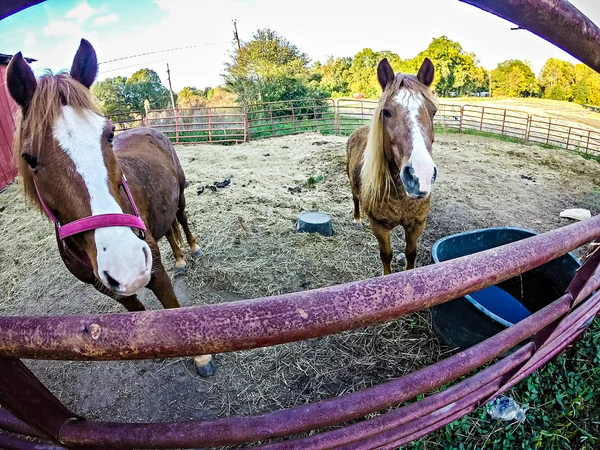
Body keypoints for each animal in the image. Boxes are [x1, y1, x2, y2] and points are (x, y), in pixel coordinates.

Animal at [7, 39, 216, 376]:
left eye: (109, 134)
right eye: (29, 158)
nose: (125, 263)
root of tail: (152, 129)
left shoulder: (154, 271)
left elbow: (172, 309)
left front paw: (202, 358)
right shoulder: (106, 287)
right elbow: (137, 312)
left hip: (182, 195)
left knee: (181, 219)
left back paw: (193, 249)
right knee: (170, 229)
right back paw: (180, 259)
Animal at [346, 58, 436, 276]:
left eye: (433, 112)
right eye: (386, 112)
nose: (420, 175)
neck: (401, 197)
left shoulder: (417, 224)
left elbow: (411, 253)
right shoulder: (379, 226)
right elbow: (385, 255)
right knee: (355, 199)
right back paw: (357, 219)